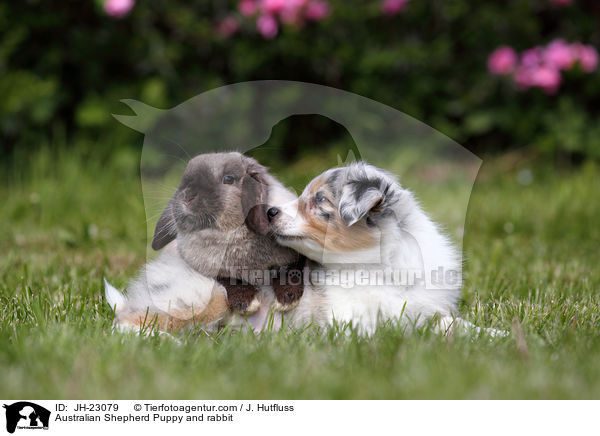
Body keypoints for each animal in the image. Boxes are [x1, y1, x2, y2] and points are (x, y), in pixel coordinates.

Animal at [104, 152, 304, 332]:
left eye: (228, 179)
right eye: (185, 178)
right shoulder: (213, 271)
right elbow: (231, 281)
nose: (186, 196)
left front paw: (286, 300)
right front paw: (248, 304)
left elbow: (292, 270)